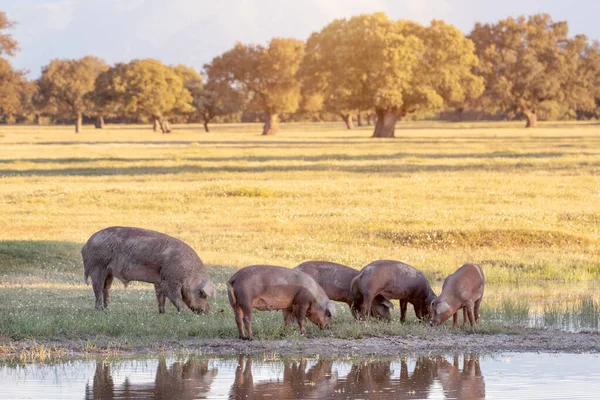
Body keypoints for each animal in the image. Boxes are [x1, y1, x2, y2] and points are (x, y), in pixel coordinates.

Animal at [81, 227, 217, 314]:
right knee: (97, 288)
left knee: (106, 288)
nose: (207, 311)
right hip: (97, 266)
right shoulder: (171, 279)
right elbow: (175, 296)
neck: (188, 273)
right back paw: (99, 309)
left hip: (108, 272)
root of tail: (86, 245)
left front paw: (162, 312)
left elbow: (160, 296)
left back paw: (107, 309)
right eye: (203, 294)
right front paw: (183, 313)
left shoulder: (160, 280)